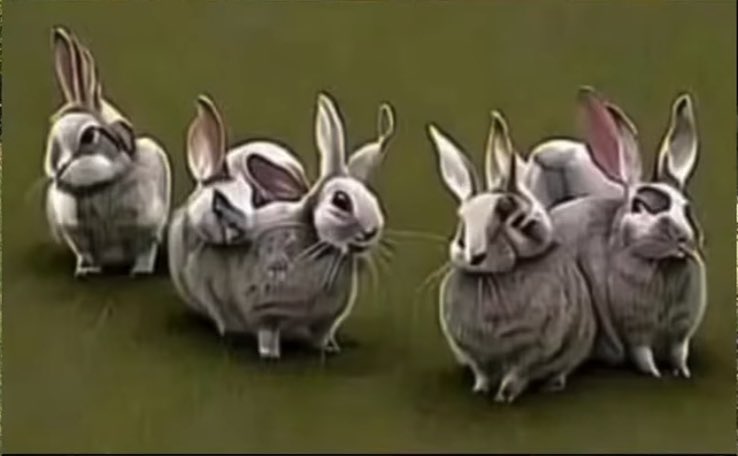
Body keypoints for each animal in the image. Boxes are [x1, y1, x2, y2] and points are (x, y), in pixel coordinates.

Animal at [43, 26, 171, 276]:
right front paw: (85, 272)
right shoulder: (79, 236)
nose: (57, 171)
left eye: (88, 136)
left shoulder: (145, 226)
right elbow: (87, 255)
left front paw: (140, 272)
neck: (97, 185)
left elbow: (145, 250)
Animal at [168, 92, 395, 359]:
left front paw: (329, 348)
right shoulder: (265, 314)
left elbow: (322, 337)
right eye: (341, 201)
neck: (318, 244)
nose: (371, 231)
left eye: (373, 199)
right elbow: (267, 336)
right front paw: (270, 356)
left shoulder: (326, 321)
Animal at [428, 111, 595, 403]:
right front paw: (480, 389)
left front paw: (504, 396)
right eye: (462, 223)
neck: (491, 279)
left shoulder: (535, 349)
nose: (475, 257)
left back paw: (553, 384)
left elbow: (517, 374)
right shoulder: (474, 354)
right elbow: (482, 372)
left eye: (519, 221)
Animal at [545, 88, 706, 378]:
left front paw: (683, 372)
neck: (662, 264)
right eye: (640, 207)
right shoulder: (635, 331)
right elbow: (642, 354)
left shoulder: (680, 332)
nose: (684, 239)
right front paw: (655, 374)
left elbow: (679, 352)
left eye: (687, 207)